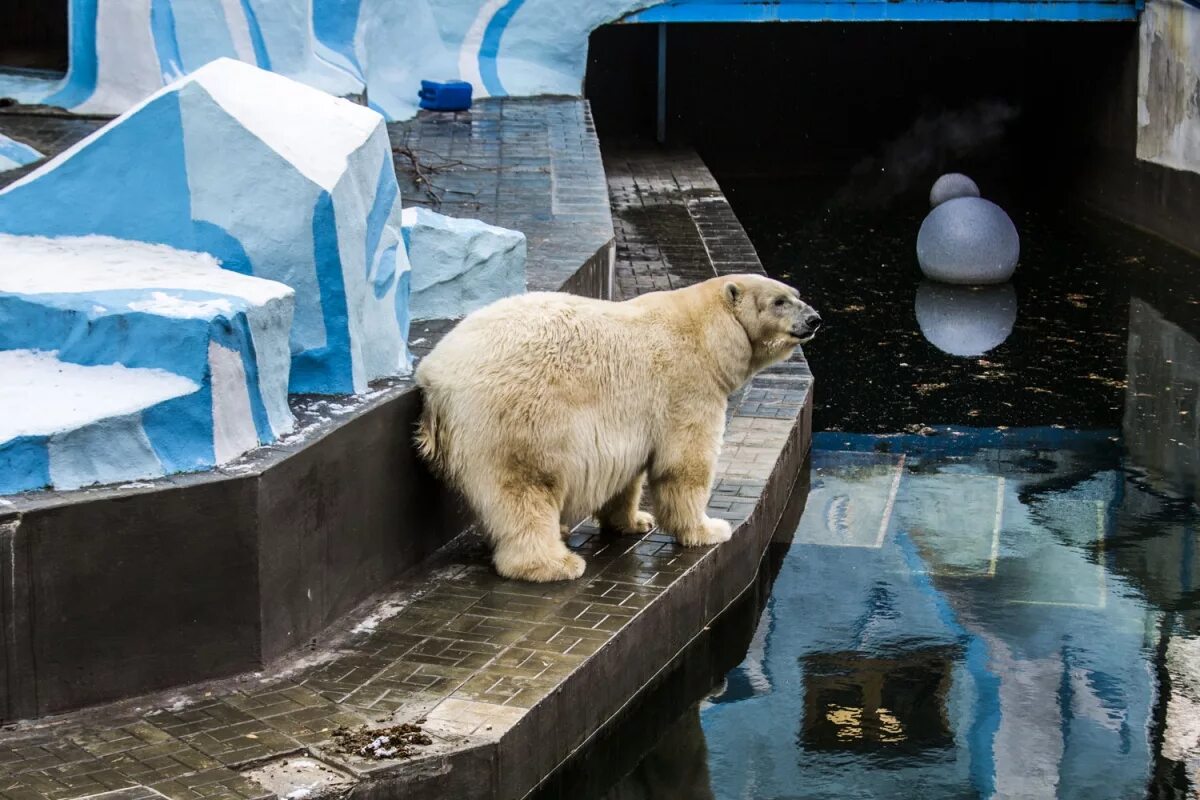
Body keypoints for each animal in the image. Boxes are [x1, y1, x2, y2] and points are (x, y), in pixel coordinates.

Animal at [412, 273, 816, 582]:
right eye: (779, 301)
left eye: (796, 294)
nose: (815, 319)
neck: (706, 332)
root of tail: (434, 378)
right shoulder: (685, 386)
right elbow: (684, 465)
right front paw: (708, 529)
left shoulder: (632, 418)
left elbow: (628, 474)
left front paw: (634, 521)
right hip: (518, 417)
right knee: (525, 489)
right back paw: (554, 563)